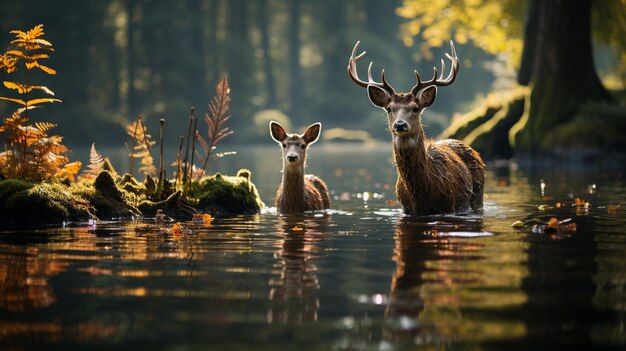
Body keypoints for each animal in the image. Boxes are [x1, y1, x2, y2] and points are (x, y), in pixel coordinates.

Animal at [346, 40, 482, 216]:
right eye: (389, 108)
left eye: (415, 108)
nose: (400, 124)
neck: (423, 195)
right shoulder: (406, 209)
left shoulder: (449, 206)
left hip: (478, 196)